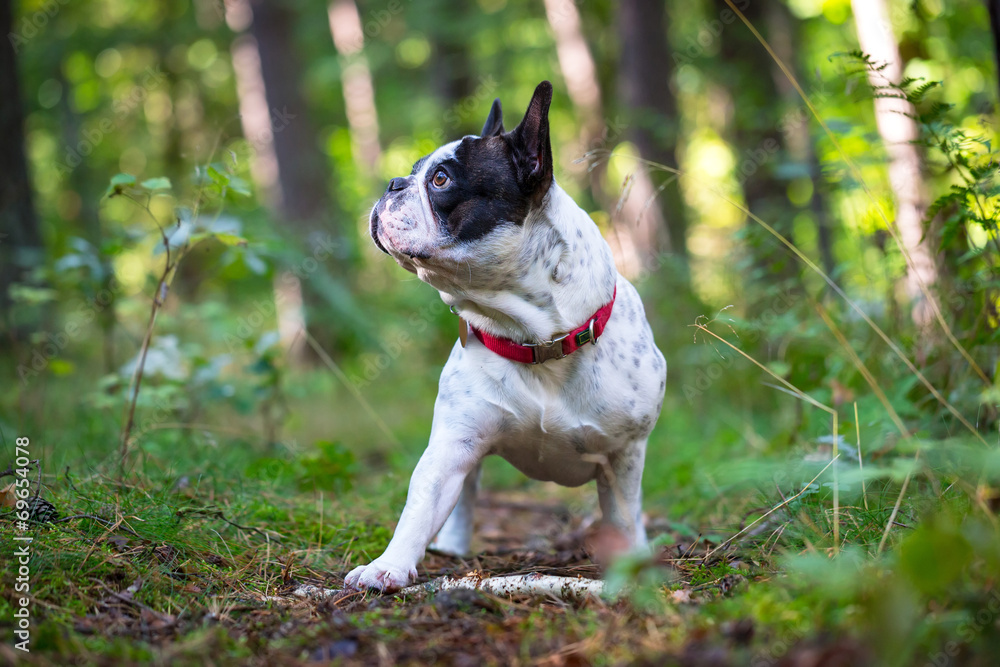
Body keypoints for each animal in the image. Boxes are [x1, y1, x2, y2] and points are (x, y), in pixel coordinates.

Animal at [348, 82, 668, 588]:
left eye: (440, 179)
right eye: (413, 173)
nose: (392, 184)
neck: (537, 338)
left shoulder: (624, 457)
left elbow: (622, 515)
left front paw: (631, 569)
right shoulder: (453, 444)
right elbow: (421, 504)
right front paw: (388, 566)